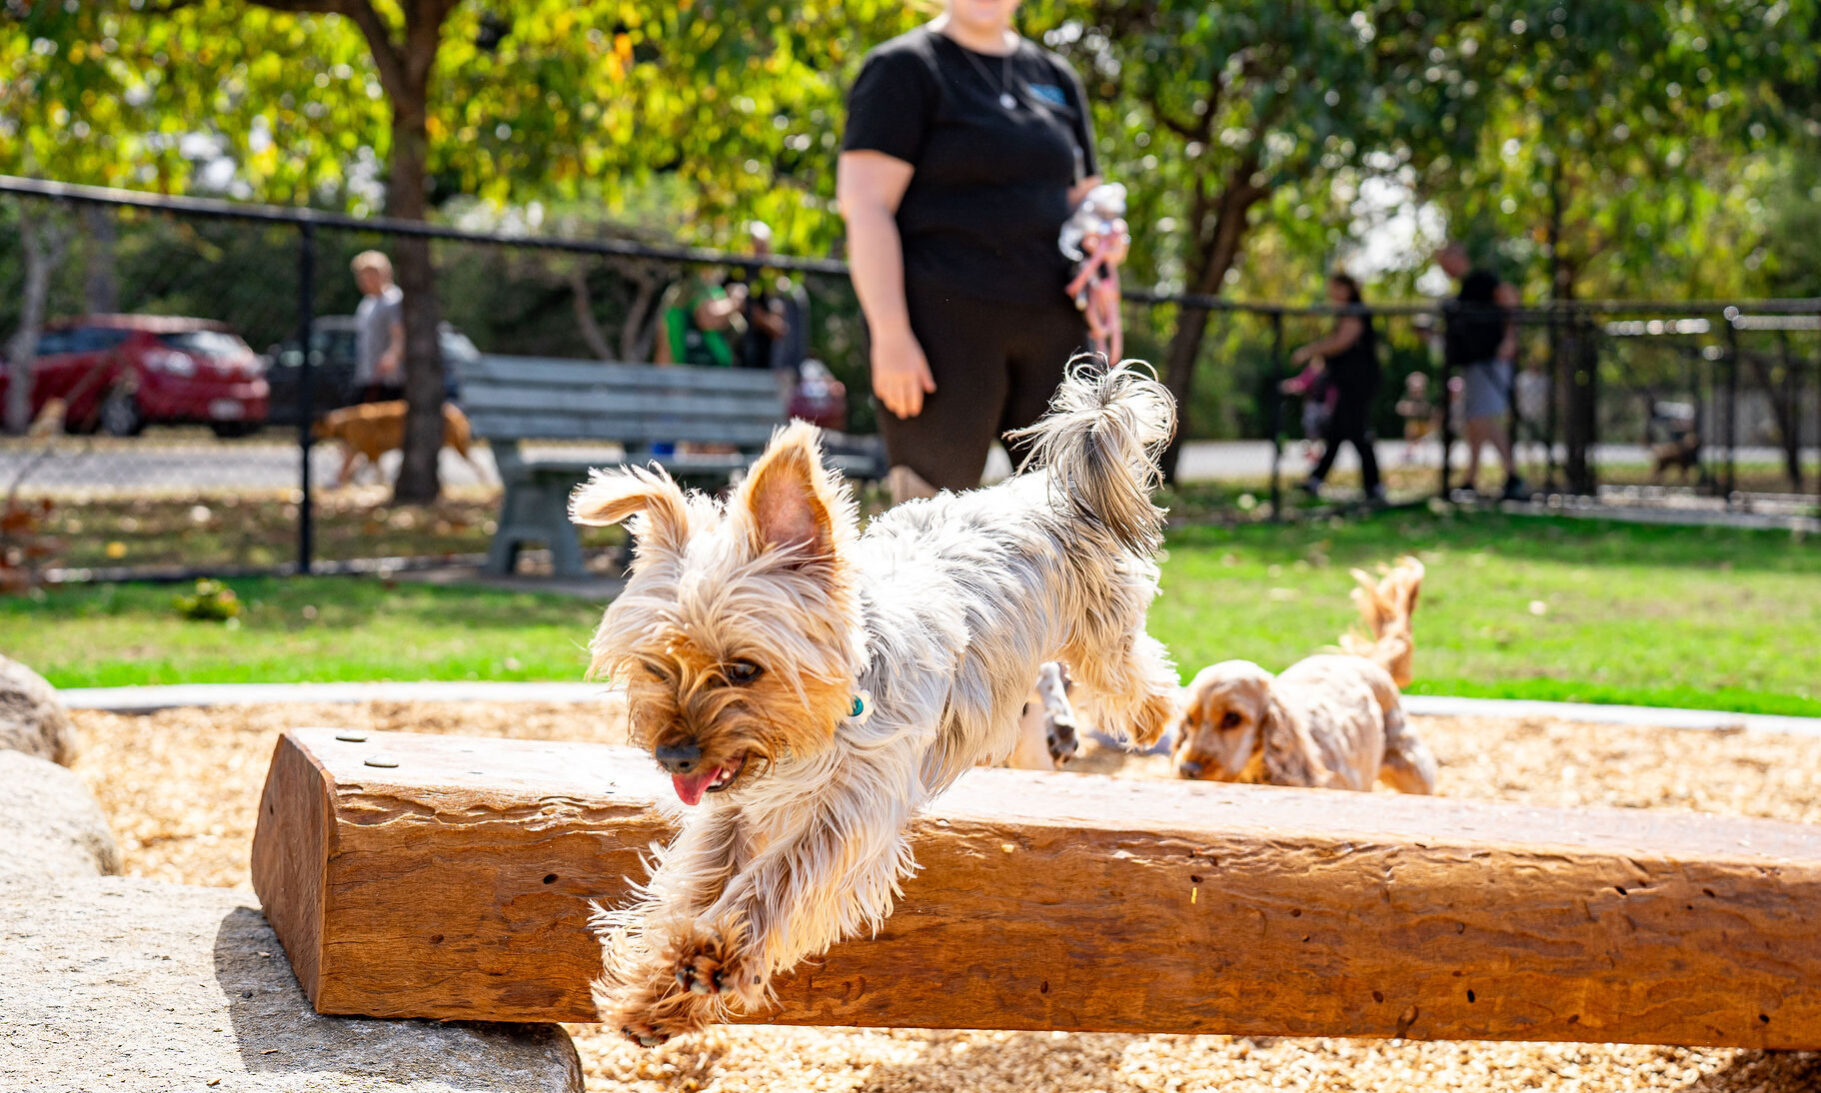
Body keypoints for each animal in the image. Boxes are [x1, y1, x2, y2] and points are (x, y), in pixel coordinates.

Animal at [313, 400, 484, 488]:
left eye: (312, 427)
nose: (309, 437)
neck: (343, 424)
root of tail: (458, 414)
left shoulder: (372, 449)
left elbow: (376, 471)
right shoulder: (362, 449)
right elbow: (356, 468)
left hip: (457, 446)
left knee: (476, 465)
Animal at [568, 362, 1187, 1049]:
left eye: (744, 669)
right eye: (655, 666)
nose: (673, 755)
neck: (823, 725)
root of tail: (1044, 492)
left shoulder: (851, 811)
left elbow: (778, 881)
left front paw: (716, 952)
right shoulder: (734, 811)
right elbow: (693, 880)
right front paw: (652, 994)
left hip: (1098, 627)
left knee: (1130, 668)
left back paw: (1150, 720)